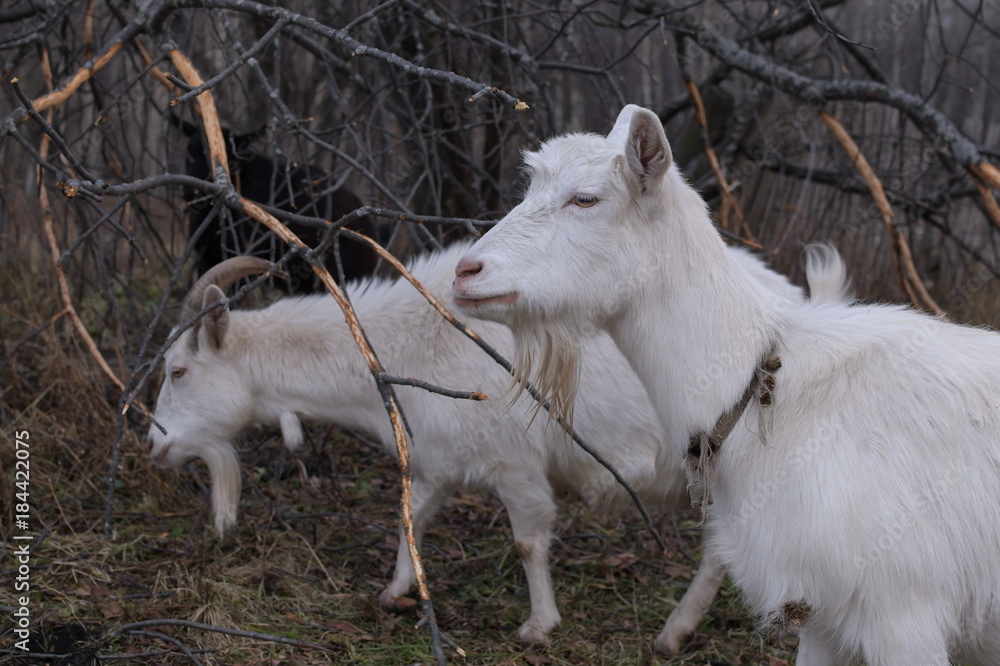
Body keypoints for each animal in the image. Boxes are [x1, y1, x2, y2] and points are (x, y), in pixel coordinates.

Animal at [147, 239, 814, 652]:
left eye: (178, 370)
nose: (156, 447)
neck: (407, 342)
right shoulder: (437, 459)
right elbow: (409, 517)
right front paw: (395, 592)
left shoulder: (513, 462)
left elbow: (527, 542)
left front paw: (538, 626)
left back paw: (676, 632)